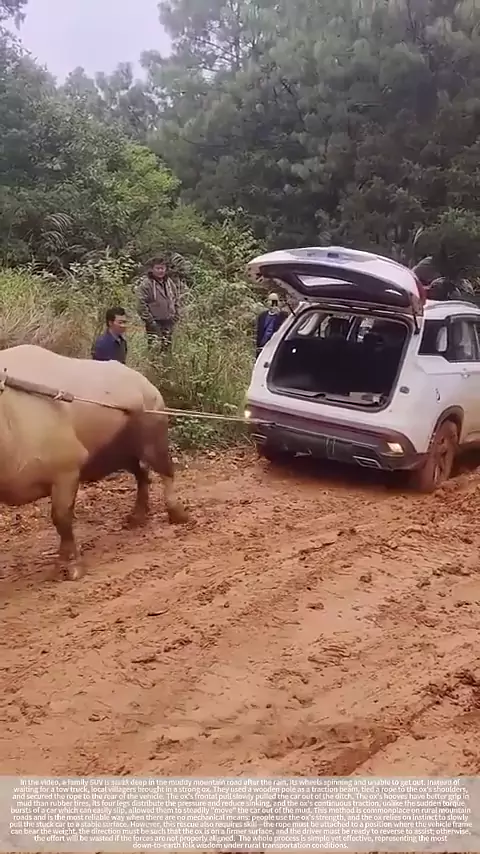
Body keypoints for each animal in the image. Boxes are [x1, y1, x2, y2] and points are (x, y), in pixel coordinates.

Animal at [0, 344, 188, 580]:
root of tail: (145, 383)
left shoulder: (66, 471)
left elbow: (62, 518)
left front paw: (70, 566)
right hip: (121, 450)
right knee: (141, 473)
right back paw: (137, 516)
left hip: (153, 431)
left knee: (165, 470)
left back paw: (177, 513)